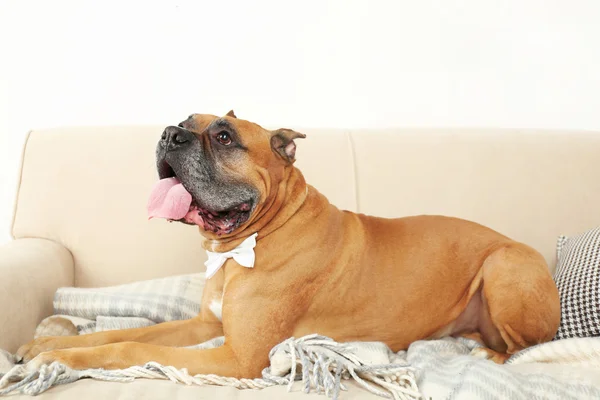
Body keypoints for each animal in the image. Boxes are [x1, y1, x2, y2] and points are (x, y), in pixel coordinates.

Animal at [18, 111, 564, 378]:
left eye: (224, 136)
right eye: (184, 121)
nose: (169, 133)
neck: (253, 238)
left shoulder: (238, 358)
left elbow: (128, 346)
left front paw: (61, 361)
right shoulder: (203, 327)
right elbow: (118, 333)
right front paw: (48, 344)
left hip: (504, 265)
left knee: (526, 348)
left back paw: (485, 357)